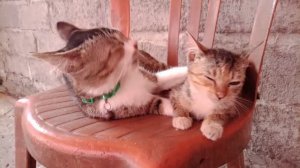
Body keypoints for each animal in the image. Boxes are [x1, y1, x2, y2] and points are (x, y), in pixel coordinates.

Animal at [33, 21, 188, 119]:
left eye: (119, 33)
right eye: (114, 50)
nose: (135, 43)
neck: (119, 82)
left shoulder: (150, 78)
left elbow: (168, 76)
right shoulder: (129, 106)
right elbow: (160, 104)